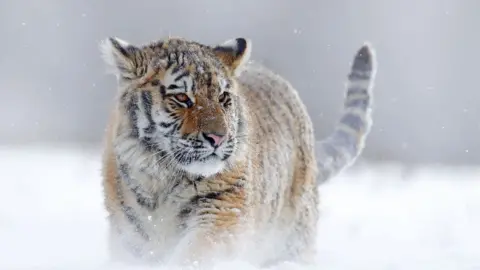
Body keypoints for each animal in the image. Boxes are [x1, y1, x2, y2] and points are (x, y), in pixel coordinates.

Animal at [100, 34, 376, 266]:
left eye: (223, 97)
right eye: (182, 98)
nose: (218, 138)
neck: (163, 178)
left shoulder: (222, 209)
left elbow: (195, 253)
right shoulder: (128, 237)